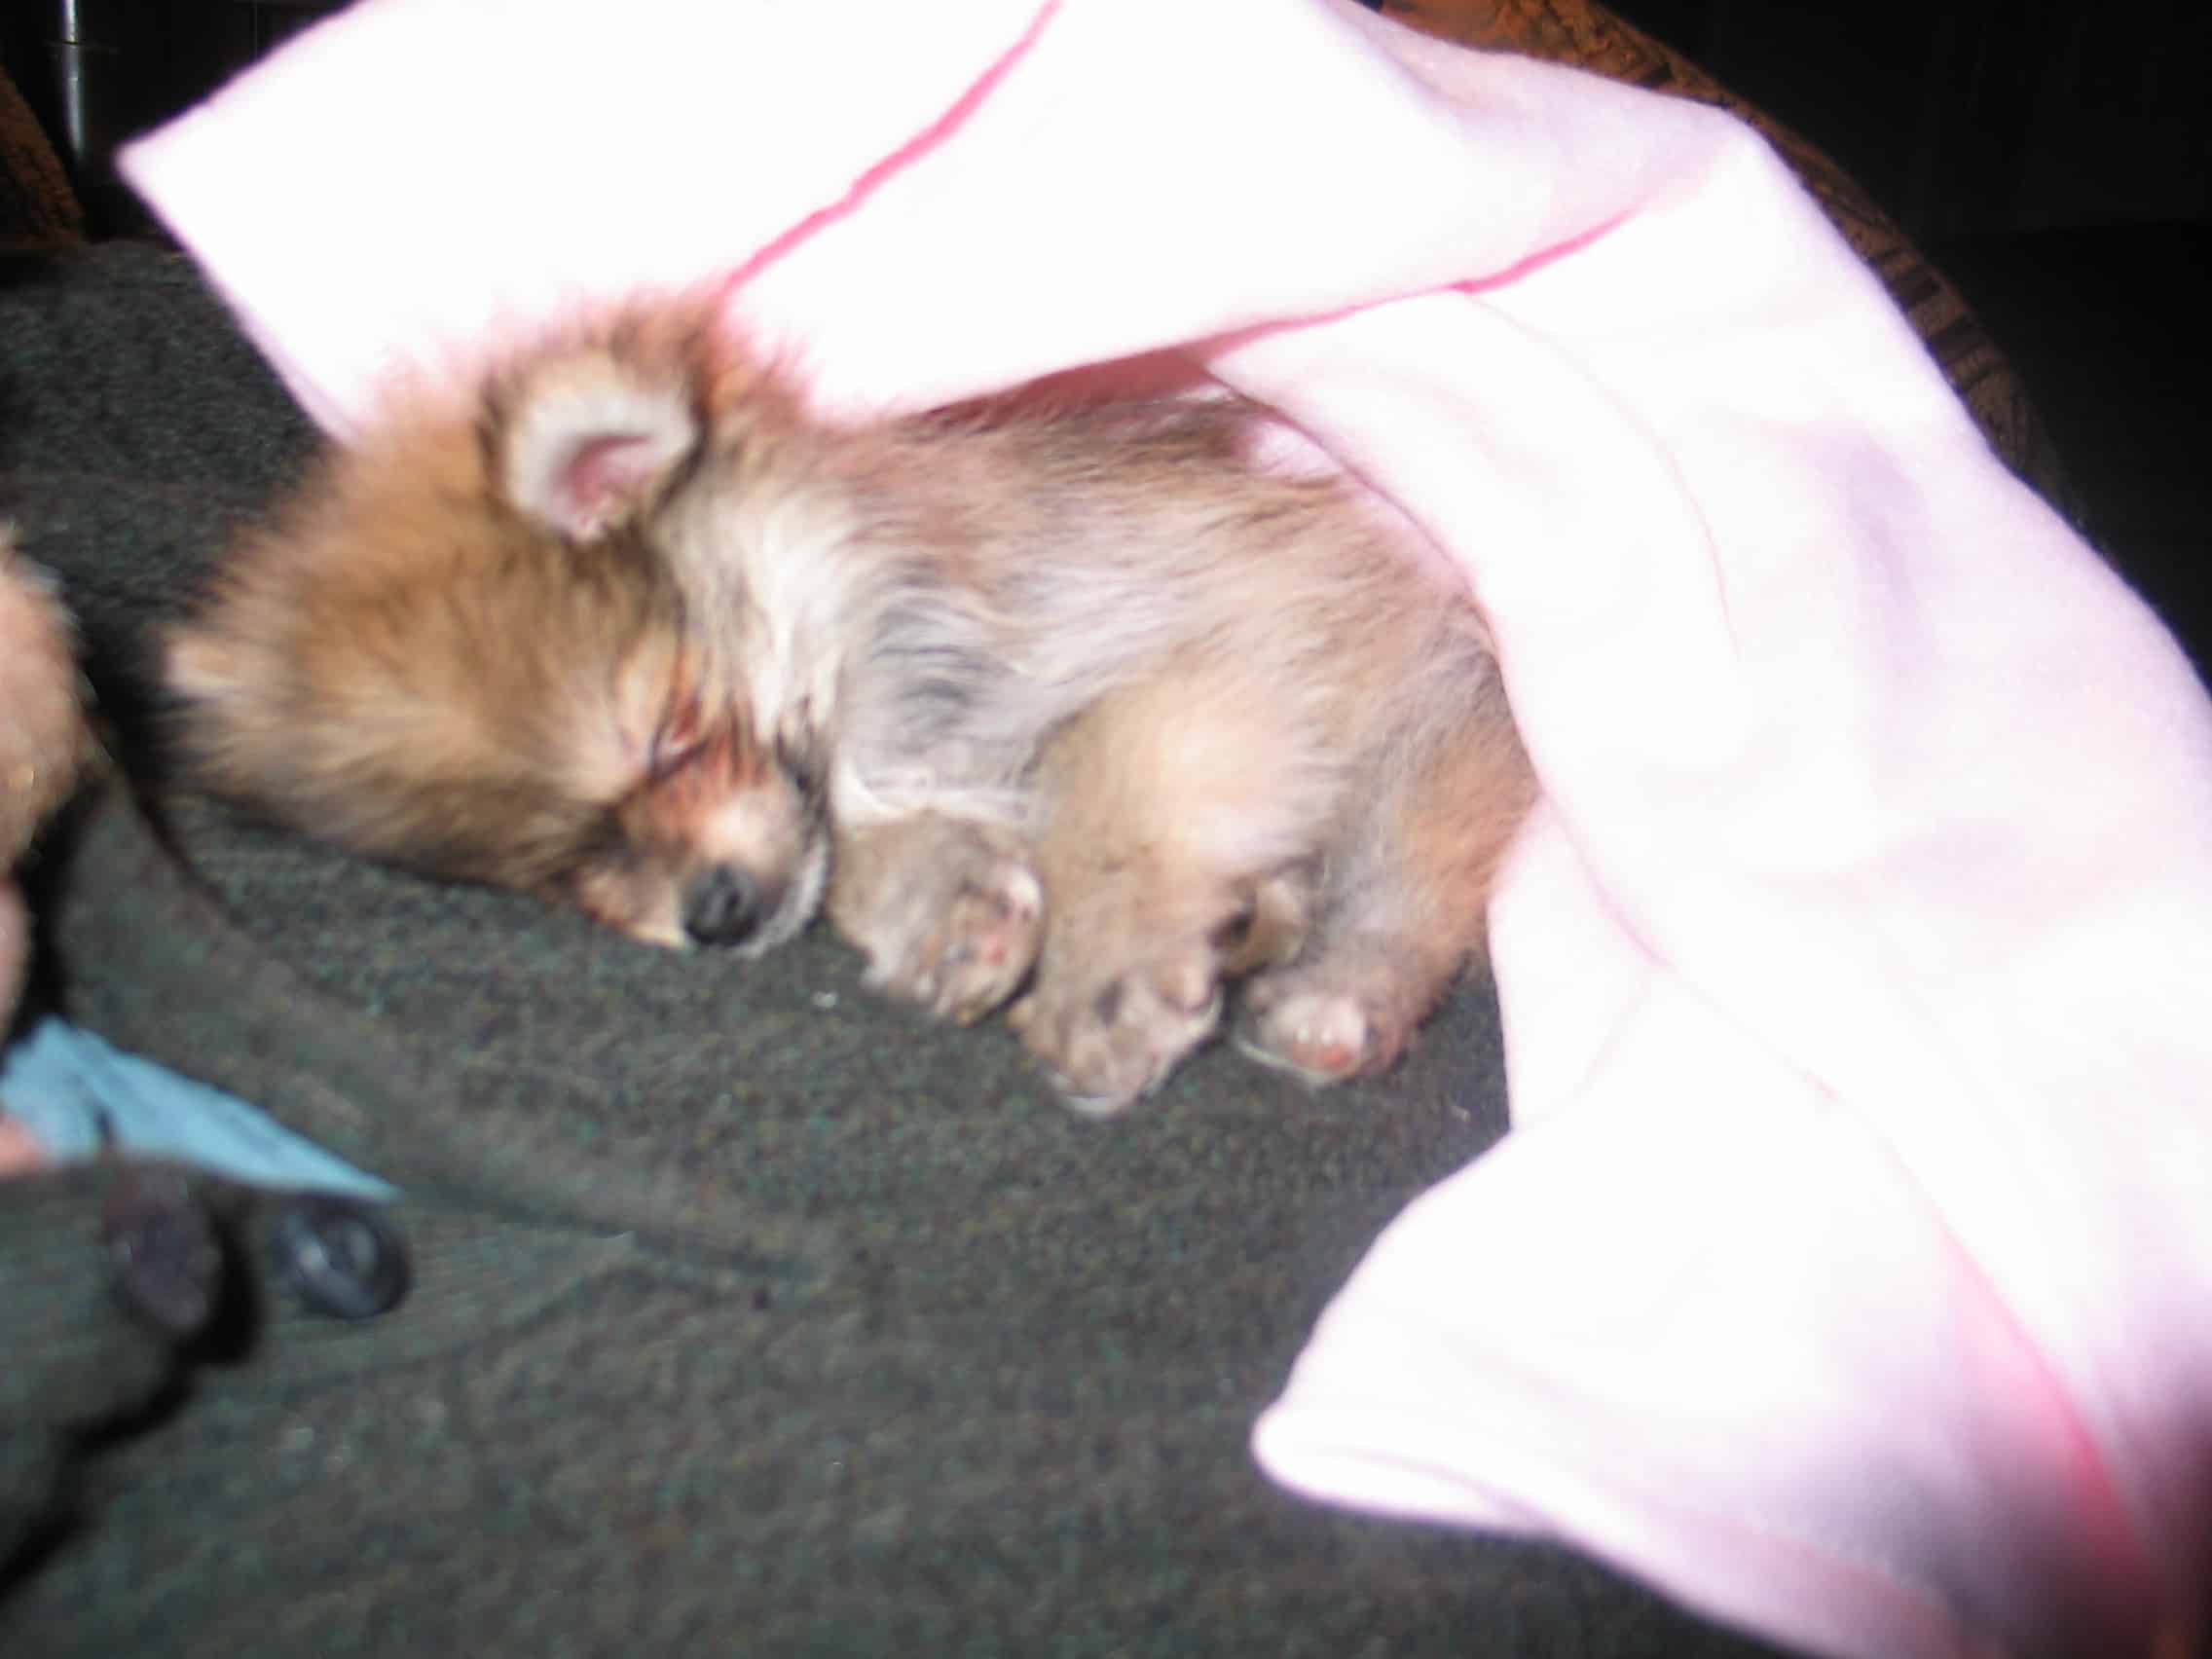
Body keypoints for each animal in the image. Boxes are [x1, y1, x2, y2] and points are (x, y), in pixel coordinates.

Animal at [167, 312, 1539, 1119]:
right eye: (549, 871)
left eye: (672, 731)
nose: (713, 916)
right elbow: (873, 850)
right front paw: (950, 911)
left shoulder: (1225, 655)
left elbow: (1103, 785)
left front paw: (1103, 982)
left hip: (1423, 740)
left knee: (1402, 893)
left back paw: (1329, 999)